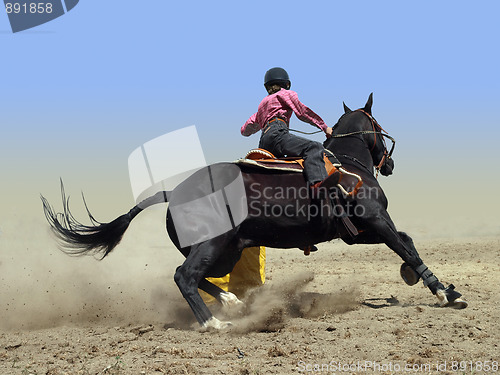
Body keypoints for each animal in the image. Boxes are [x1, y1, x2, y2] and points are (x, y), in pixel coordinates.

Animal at [41, 95, 466, 330]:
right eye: (378, 126)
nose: (390, 163)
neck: (347, 165)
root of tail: (173, 192)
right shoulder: (375, 219)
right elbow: (405, 245)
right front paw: (446, 293)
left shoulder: (358, 231)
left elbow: (406, 242)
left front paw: (419, 279)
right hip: (213, 245)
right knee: (184, 276)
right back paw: (215, 323)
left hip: (226, 249)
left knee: (198, 277)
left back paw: (233, 303)